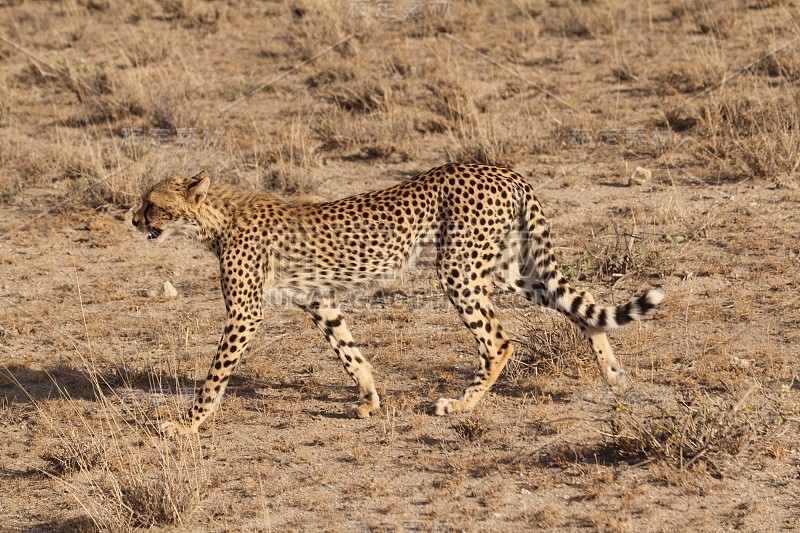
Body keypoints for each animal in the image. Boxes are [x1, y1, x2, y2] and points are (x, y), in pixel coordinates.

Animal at [133, 164, 664, 434]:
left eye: (152, 204)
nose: (133, 220)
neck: (215, 218)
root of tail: (499, 167)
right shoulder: (318, 299)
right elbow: (348, 351)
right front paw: (369, 398)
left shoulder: (245, 313)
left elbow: (215, 374)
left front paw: (188, 423)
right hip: (506, 269)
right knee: (580, 302)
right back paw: (614, 375)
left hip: (459, 269)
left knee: (499, 341)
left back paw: (461, 405)